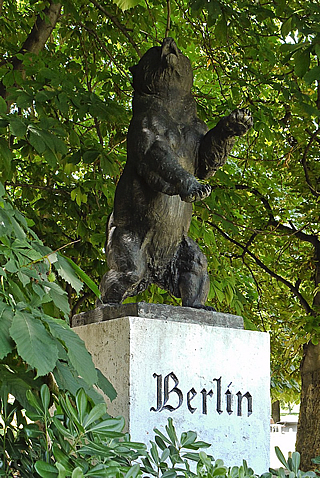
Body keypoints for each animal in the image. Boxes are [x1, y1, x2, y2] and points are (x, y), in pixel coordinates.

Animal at [99, 35, 252, 308]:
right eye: (151, 50)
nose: (168, 41)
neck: (173, 108)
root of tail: (155, 272)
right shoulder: (147, 129)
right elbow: (160, 158)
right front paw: (194, 186)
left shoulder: (197, 133)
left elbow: (208, 160)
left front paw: (236, 122)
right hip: (124, 236)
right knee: (126, 272)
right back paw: (107, 303)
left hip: (182, 248)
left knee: (196, 267)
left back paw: (199, 304)